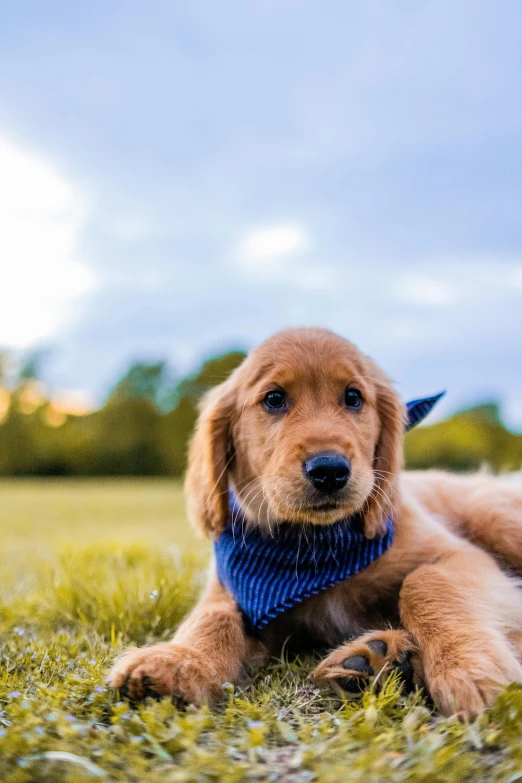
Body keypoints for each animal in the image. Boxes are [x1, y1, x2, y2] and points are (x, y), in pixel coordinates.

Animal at [106, 326, 522, 716]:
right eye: (274, 399)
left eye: (353, 397)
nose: (329, 470)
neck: (312, 545)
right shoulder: (232, 588)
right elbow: (213, 617)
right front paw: (178, 662)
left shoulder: (460, 556)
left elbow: (425, 582)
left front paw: (469, 668)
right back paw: (376, 659)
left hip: (495, 517)